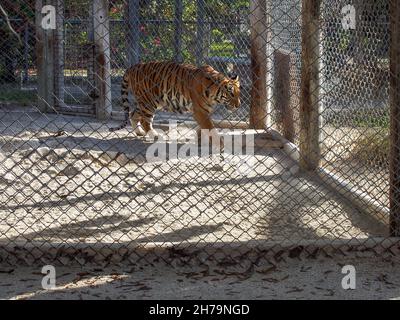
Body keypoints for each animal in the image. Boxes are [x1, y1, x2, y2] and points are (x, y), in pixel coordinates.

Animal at [108, 61, 241, 139]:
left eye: (238, 93)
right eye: (231, 94)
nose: (238, 105)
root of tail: (132, 67)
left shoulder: (205, 111)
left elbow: (204, 126)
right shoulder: (200, 111)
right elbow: (209, 126)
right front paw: (219, 143)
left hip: (148, 101)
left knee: (133, 114)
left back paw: (140, 132)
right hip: (148, 102)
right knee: (145, 120)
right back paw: (155, 135)